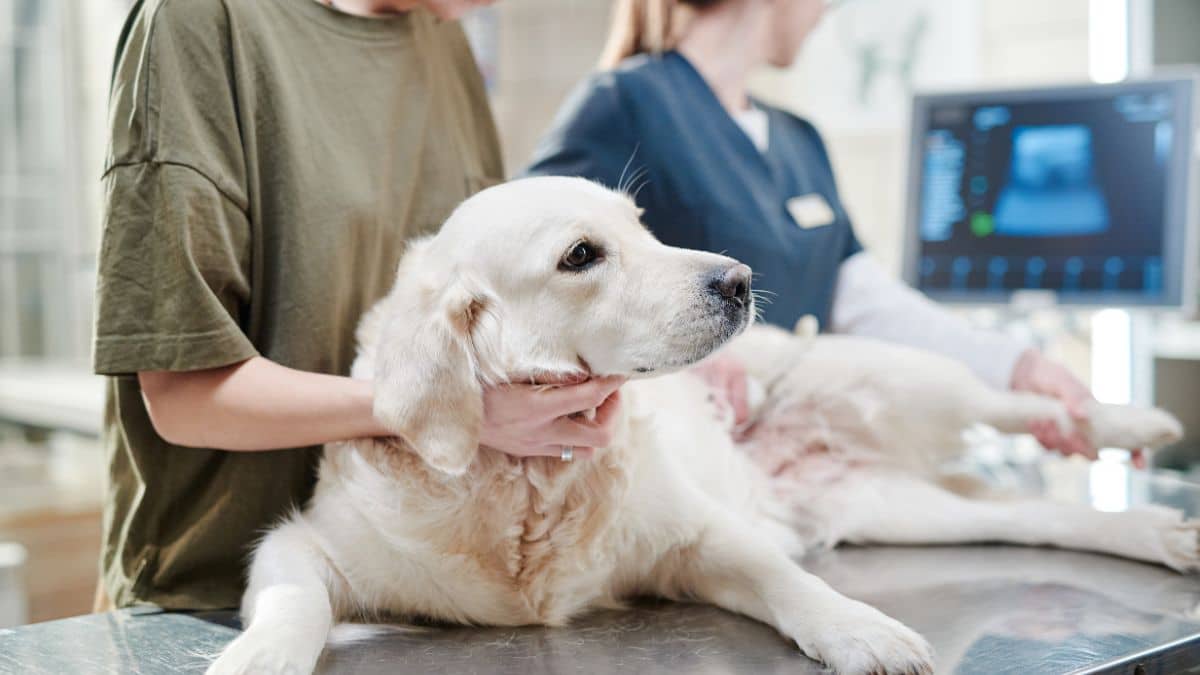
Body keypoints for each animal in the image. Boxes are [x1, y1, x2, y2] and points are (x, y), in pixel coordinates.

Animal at [206, 176, 1190, 672]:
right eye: (581, 255)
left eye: (643, 225)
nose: (740, 278)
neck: (530, 482)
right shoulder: (303, 544)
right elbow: (295, 601)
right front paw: (259, 657)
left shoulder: (697, 536)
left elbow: (790, 581)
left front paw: (861, 630)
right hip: (901, 508)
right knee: (1033, 514)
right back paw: (1160, 531)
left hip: (893, 375)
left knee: (1016, 402)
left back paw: (1133, 417)